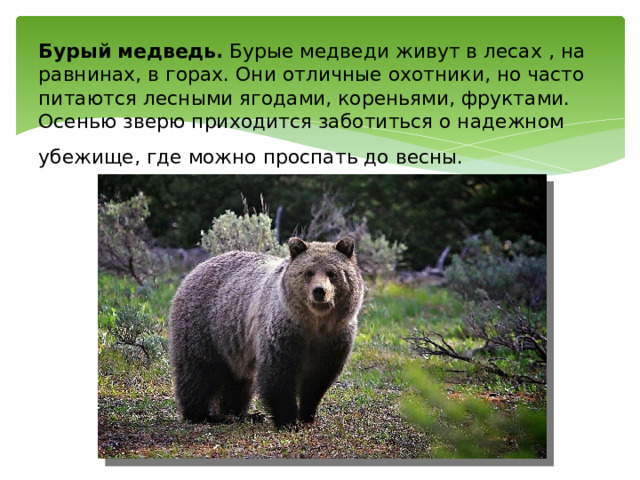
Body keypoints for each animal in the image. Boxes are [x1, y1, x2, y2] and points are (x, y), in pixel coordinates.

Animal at [168, 236, 364, 429]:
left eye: (332, 273)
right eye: (309, 272)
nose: (319, 291)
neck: (314, 324)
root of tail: (196, 269)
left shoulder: (334, 338)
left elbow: (318, 380)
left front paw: (307, 417)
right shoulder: (283, 332)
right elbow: (278, 375)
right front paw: (288, 421)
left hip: (233, 344)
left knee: (239, 380)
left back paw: (242, 414)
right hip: (204, 327)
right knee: (198, 372)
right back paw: (205, 415)